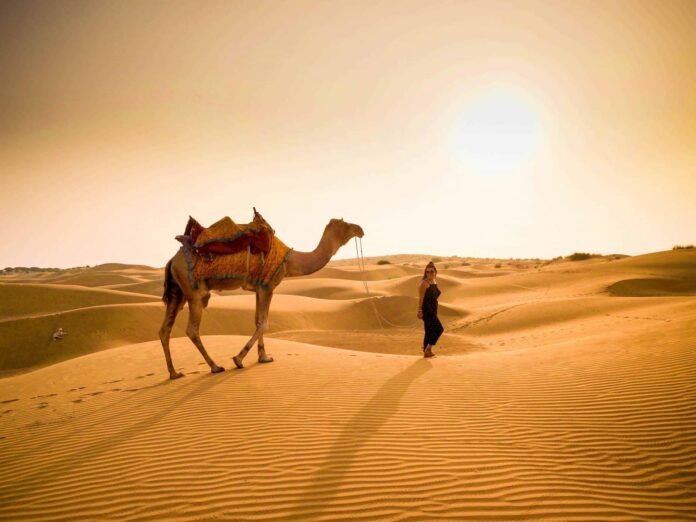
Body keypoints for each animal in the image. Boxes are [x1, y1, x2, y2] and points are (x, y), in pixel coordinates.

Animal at [158, 213, 364, 376]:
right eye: (346, 225)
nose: (361, 229)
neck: (290, 261)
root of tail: (171, 261)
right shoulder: (268, 285)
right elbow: (264, 323)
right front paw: (239, 359)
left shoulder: (259, 287)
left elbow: (258, 320)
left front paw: (263, 357)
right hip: (194, 293)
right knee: (192, 329)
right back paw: (215, 366)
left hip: (177, 292)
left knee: (165, 329)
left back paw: (174, 373)